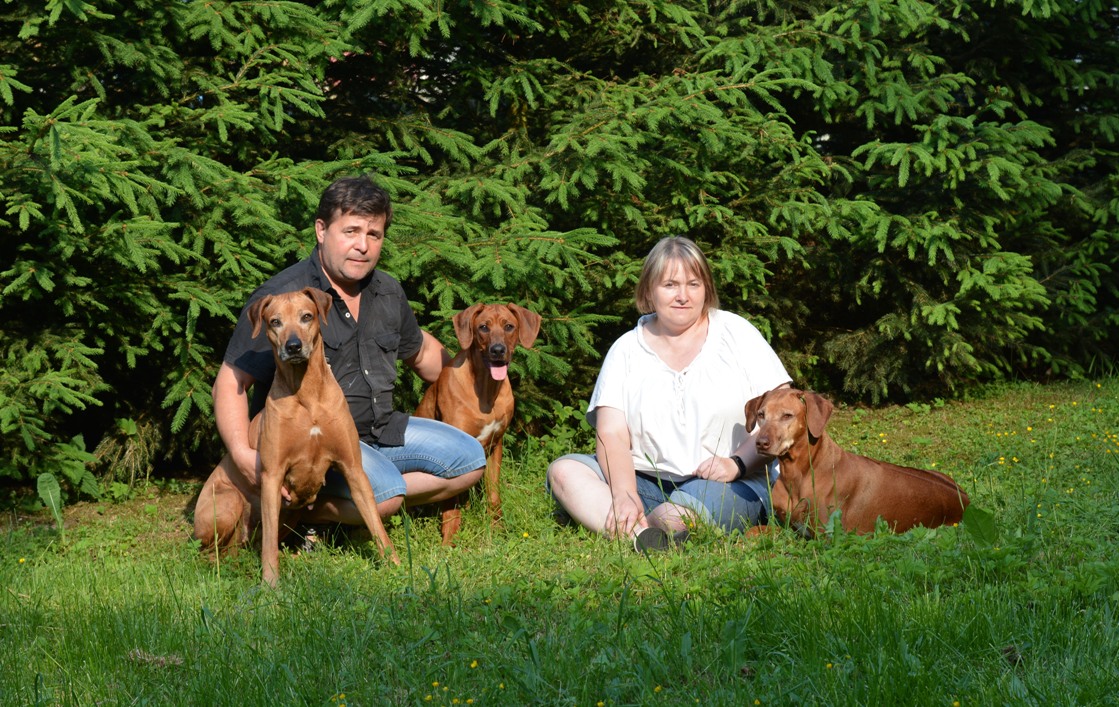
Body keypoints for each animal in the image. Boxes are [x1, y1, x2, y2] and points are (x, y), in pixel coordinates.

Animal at [193, 288, 399, 585]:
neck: (307, 395)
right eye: (275, 322)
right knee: (208, 552)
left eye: (306, 317)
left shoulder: (353, 469)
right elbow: (269, 545)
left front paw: (397, 567)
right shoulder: (272, 477)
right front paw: (270, 584)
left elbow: (376, 524)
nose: (293, 346)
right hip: (226, 502)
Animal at [414, 303, 541, 544]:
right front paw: (449, 541)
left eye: (509, 327)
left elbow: (493, 495)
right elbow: (451, 505)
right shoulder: (454, 454)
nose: (498, 350)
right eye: (483, 327)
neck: (487, 388)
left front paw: (498, 529)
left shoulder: (495, 445)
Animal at [744, 387, 969, 537]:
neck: (798, 472)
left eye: (787, 415)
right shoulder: (787, 525)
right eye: (761, 414)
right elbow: (752, 530)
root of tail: (966, 501)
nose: (761, 443)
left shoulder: (826, 536)